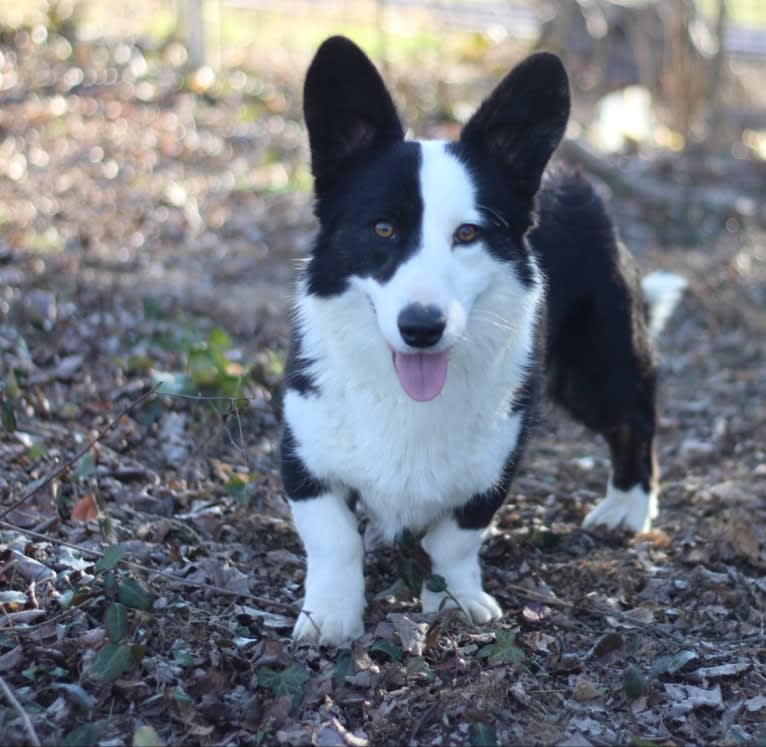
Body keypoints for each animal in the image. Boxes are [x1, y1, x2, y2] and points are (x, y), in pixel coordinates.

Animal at [282, 35, 680, 644]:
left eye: (468, 234)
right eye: (382, 229)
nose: (422, 328)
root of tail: (568, 177)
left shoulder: (495, 461)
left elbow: (455, 540)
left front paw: (454, 601)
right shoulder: (306, 455)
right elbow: (333, 539)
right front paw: (330, 615)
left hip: (595, 372)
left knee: (634, 418)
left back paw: (628, 506)